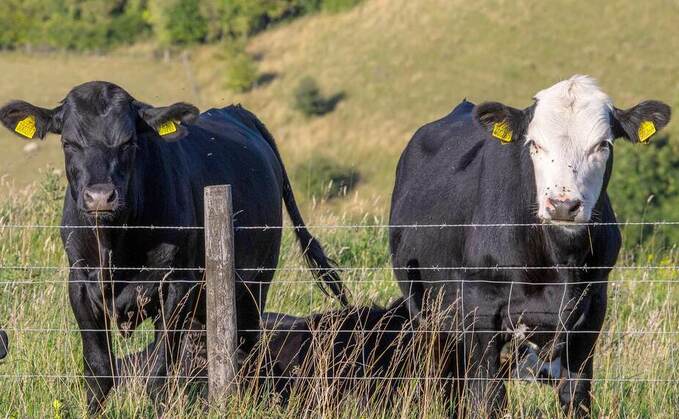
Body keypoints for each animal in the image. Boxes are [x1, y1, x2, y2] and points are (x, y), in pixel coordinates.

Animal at [0, 81, 348, 414]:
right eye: (68, 143)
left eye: (129, 143)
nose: (100, 197)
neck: (116, 244)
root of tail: (236, 112)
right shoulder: (81, 286)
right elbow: (99, 372)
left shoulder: (176, 285)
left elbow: (159, 373)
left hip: (254, 286)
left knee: (248, 351)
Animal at [390, 74, 672, 416]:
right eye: (534, 144)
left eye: (603, 144)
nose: (563, 205)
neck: (558, 262)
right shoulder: (481, 309)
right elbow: (487, 395)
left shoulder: (593, 308)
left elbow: (575, 394)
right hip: (428, 312)